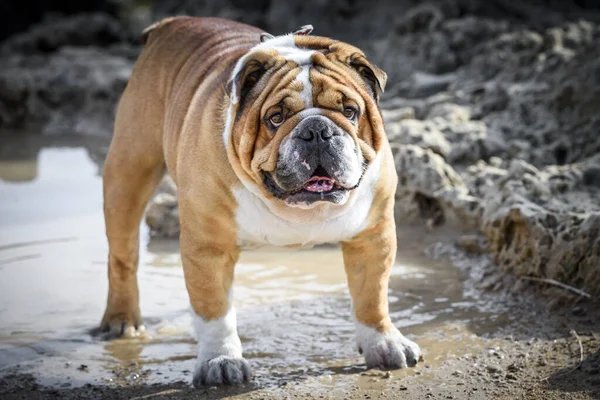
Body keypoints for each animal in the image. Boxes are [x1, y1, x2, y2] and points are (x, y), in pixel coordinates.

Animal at [101, 16, 420, 388]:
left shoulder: (372, 236)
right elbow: (215, 312)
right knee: (122, 257)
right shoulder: (208, 250)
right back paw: (122, 320)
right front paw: (220, 360)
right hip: (128, 173)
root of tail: (171, 23)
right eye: (275, 118)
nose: (316, 130)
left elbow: (373, 295)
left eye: (351, 112)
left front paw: (384, 342)